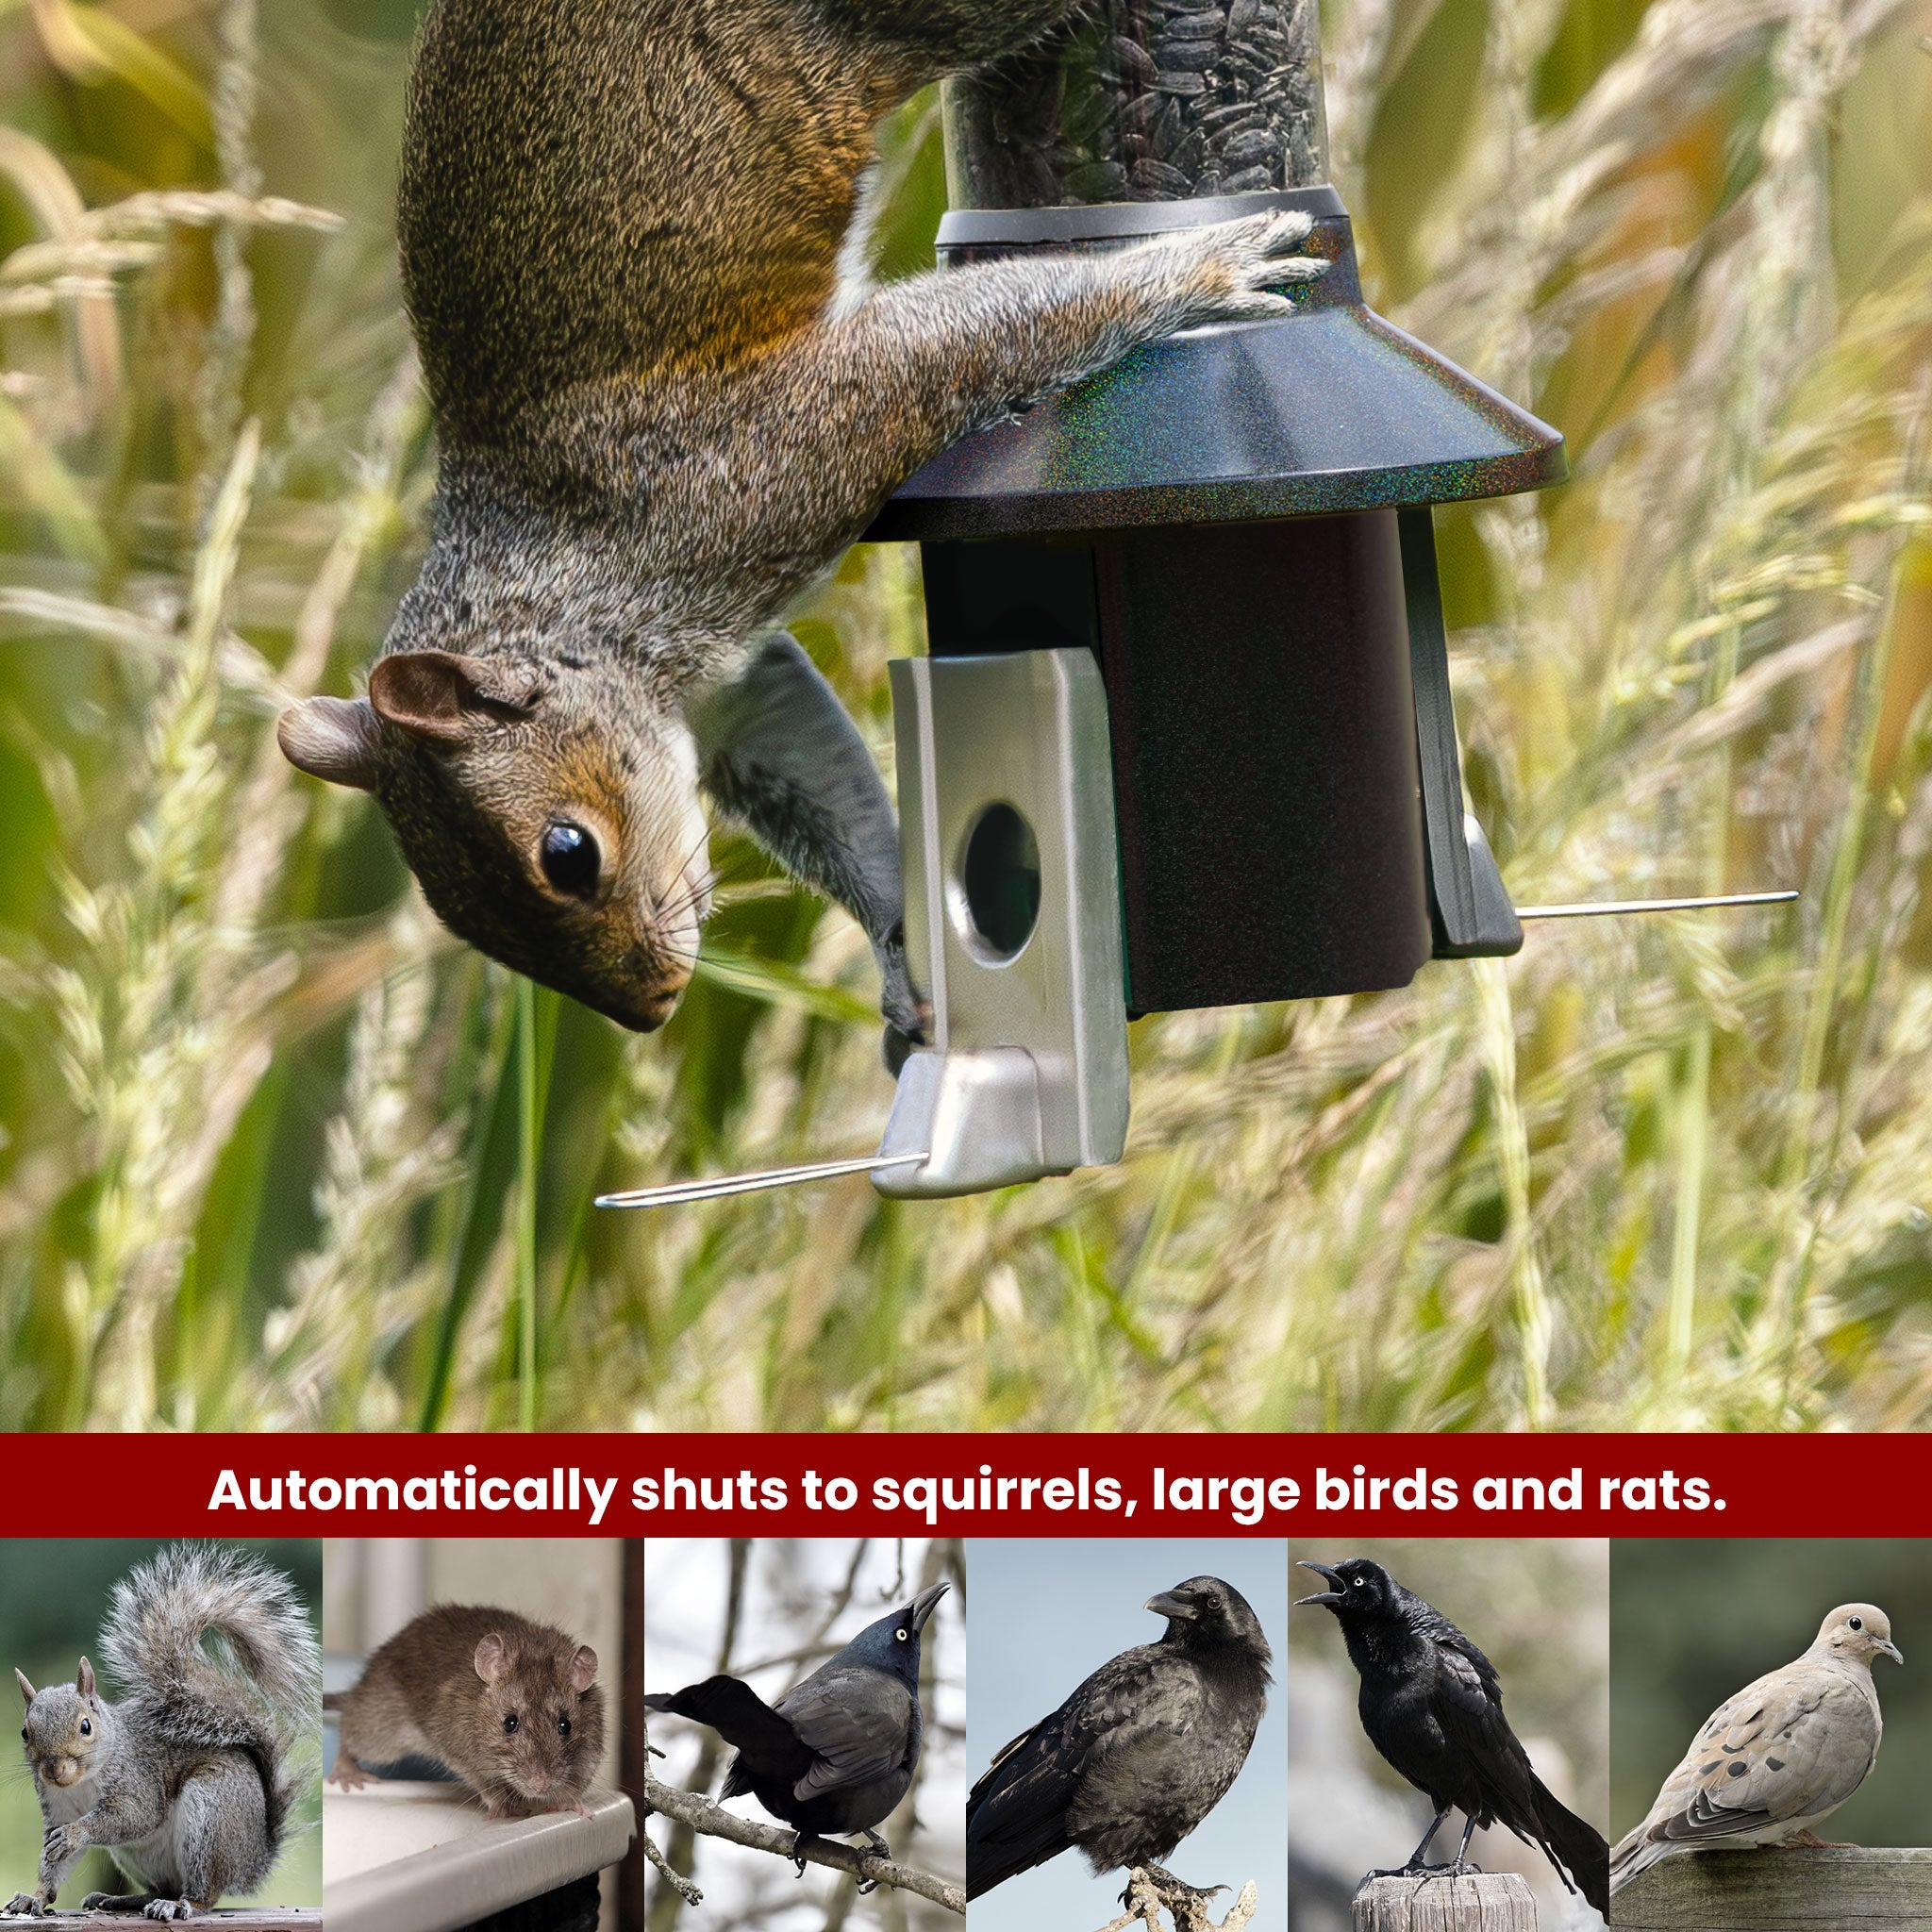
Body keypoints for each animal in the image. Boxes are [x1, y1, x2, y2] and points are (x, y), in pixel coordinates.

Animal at [6, 1543, 319, 1922]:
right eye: (25, 1732)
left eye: (85, 1726)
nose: (53, 1770)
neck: (82, 1781)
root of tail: (253, 1860)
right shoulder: (57, 1807)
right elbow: (54, 1864)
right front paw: (34, 1897)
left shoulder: (138, 1780)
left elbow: (133, 1816)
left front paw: (74, 1834)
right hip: (139, 1856)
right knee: (162, 1887)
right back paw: (121, 1899)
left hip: (210, 1815)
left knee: (204, 1893)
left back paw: (180, 1904)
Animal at [275, 0, 1326, 1058]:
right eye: (464, 922)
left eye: (566, 853)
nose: (648, 1011)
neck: (568, 576)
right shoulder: (724, 695)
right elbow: (808, 771)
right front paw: (905, 948)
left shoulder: (777, 458)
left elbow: (973, 339)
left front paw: (1204, 267)